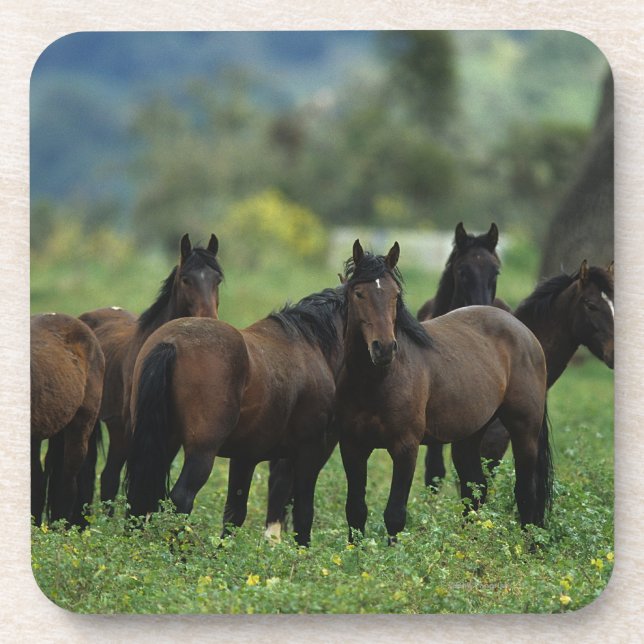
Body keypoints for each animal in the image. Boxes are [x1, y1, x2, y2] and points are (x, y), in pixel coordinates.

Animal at [77, 233, 222, 510]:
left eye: (218, 279)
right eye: (186, 279)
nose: (209, 321)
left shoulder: (170, 435)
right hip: (115, 429)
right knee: (108, 477)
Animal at [124, 287, 345, 547]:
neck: (310, 344)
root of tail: (170, 343)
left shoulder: (245, 456)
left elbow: (235, 512)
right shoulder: (310, 449)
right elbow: (302, 510)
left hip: (162, 441)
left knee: (139, 493)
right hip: (201, 451)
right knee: (181, 497)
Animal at [335, 240, 552, 544]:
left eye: (395, 295)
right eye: (359, 294)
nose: (384, 348)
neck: (376, 382)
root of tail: (525, 332)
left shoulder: (405, 448)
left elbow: (394, 515)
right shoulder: (352, 446)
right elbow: (355, 511)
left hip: (524, 430)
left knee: (526, 494)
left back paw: (530, 547)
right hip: (469, 436)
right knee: (475, 489)